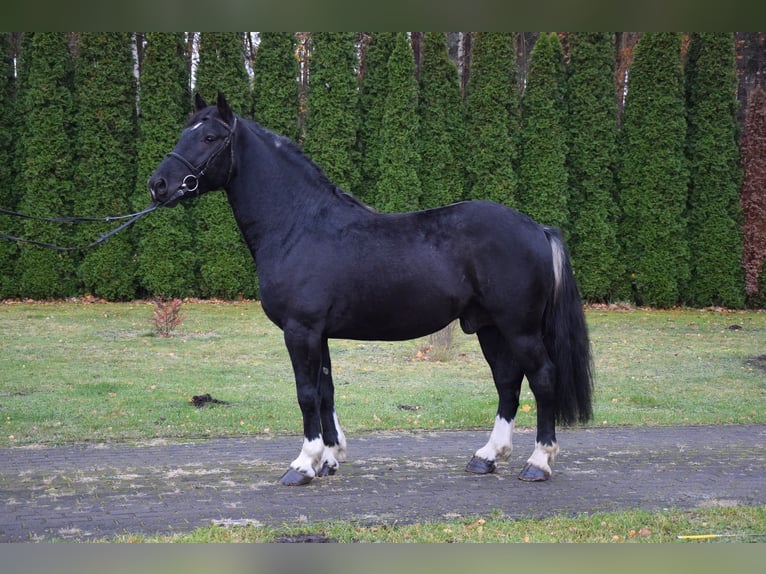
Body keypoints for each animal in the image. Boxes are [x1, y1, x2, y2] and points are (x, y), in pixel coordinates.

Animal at [148, 92, 593, 486]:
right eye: (184, 131)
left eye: (209, 137)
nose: (159, 185)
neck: (298, 225)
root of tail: (537, 228)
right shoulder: (319, 333)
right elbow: (325, 392)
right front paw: (329, 458)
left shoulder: (300, 330)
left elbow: (306, 394)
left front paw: (303, 465)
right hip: (489, 326)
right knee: (507, 381)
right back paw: (487, 457)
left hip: (519, 327)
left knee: (542, 378)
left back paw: (538, 463)